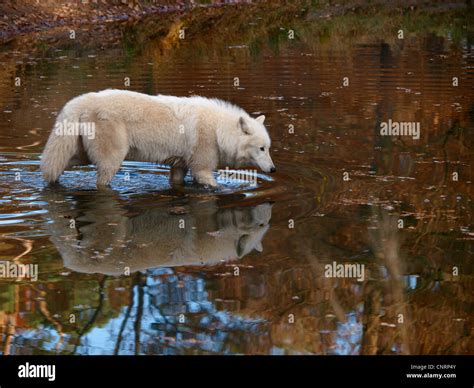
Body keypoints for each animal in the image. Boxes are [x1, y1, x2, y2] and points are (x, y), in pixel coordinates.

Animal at [43, 90, 278, 189]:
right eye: (262, 148)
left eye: (268, 148)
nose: (274, 169)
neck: (219, 131)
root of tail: (82, 100)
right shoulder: (202, 168)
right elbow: (214, 185)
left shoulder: (180, 166)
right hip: (111, 160)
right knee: (100, 182)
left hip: (77, 155)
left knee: (52, 167)